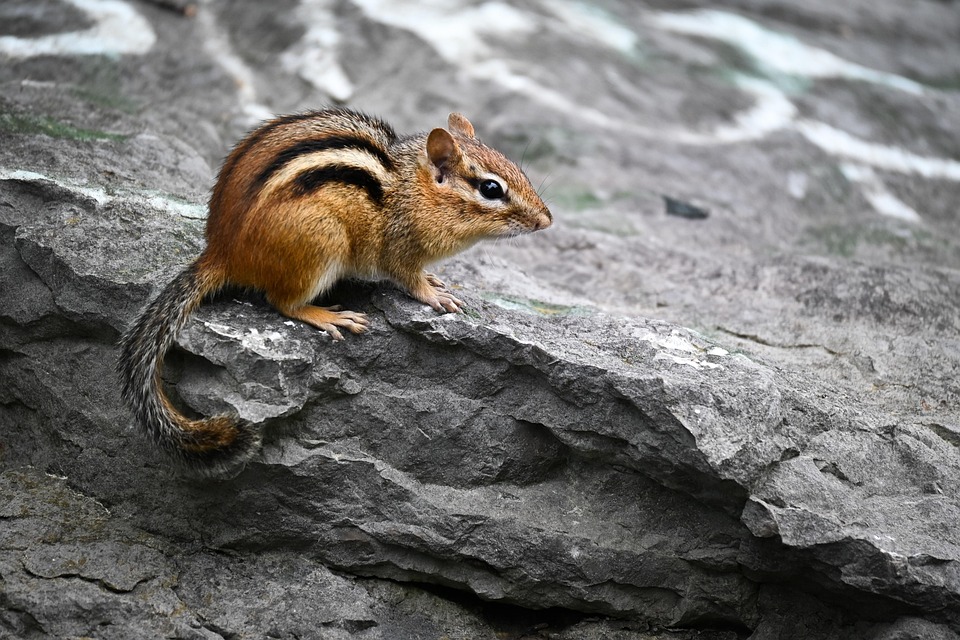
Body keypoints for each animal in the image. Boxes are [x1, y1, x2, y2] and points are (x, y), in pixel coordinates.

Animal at [117, 108, 552, 477]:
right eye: (491, 188)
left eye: (519, 171)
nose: (546, 220)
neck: (414, 189)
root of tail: (221, 253)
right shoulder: (399, 249)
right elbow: (406, 278)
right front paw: (432, 294)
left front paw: (439, 281)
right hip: (321, 245)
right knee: (282, 302)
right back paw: (329, 316)